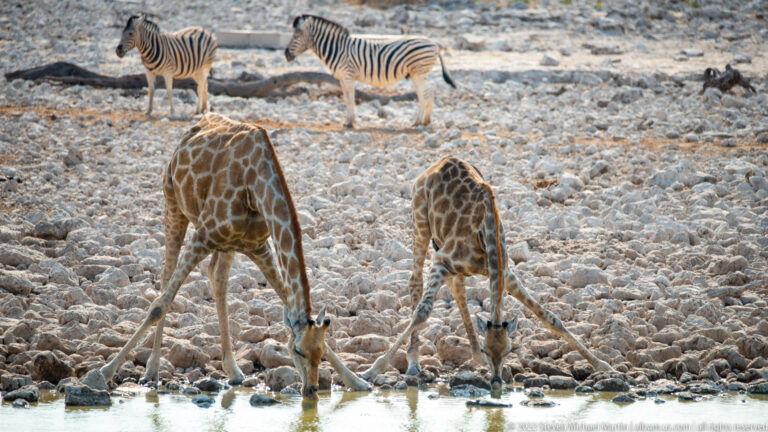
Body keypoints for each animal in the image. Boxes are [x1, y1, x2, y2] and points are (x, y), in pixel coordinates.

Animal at [97, 113, 370, 399]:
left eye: (320, 353)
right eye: (296, 350)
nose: (311, 389)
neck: (254, 187)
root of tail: (194, 128)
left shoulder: (258, 247)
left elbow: (287, 299)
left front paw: (357, 381)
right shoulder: (203, 235)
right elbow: (160, 305)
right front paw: (104, 372)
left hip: (226, 244)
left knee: (217, 279)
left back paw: (234, 371)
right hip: (174, 204)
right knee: (166, 276)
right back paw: (151, 372)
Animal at [285, 14, 456, 128]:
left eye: (297, 35)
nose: (286, 54)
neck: (337, 49)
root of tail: (434, 43)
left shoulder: (348, 76)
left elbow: (350, 99)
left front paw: (350, 123)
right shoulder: (342, 79)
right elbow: (346, 99)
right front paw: (348, 121)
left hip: (419, 71)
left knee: (427, 91)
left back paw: (420, 121)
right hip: (416, 74)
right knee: (425, 92)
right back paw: (422, 121)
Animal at [361, 156, 613, 389]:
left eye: (510, 350)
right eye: (486, 347)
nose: (496, 380)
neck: (487, 234)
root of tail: (439, 162)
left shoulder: (505, 273)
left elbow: (550, 317)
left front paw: (603, 365)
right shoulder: (442, 261)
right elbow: (422, 312)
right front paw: (372, 370)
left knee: (457, 288)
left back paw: (474, 361)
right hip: (420, 220)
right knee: (415, 282)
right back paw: (414, 363)